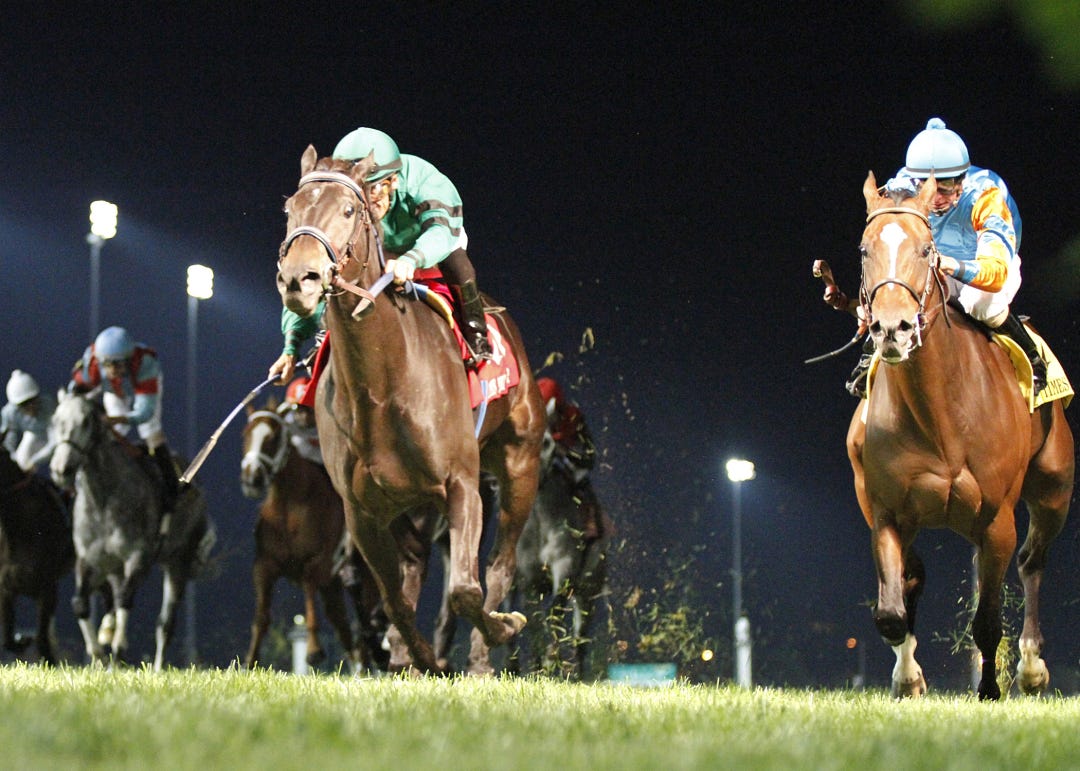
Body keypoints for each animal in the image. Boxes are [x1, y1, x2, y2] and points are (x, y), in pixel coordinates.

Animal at [49, 390, 216, 670]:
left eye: (85, 421)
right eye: (55, 420)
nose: (61, 469)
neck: (103, 501)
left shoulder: (138, 558)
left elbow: (125, 600)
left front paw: (117, 650)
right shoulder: (88, 560)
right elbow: (80, 603)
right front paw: (98, 654)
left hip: (178, 562)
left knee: (165, 622)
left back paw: (157, 668)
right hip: (116, 569)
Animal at [239, 401, 387, 671]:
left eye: (273, 437)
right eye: (246, 434)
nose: (252, 478)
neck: (289, 507)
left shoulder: (317, 563)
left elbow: (309, 598)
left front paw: (314, 651)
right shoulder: (264, 566)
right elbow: (261, 617)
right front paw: (250, 660)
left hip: (365, 575)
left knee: (364, 612)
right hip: (333, 586)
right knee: (341, 622)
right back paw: (358, 664)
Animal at [276, 147, 545, 674]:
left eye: (348, 210)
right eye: (291, 209)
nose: (300, 277)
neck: (383, 384)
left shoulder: (462, 483)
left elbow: (465, 590)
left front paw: (501, 628)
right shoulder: (362, 510)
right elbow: (394, 600)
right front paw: (420, 659)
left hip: (520, 464)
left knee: (501, 562)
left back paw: (481, 657)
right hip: (410, 504)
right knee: (415, 562)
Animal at [509, 430, 611, 678]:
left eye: (546, 444)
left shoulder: (565, 573)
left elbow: (553, 615)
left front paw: (549, 661)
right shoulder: (529, 582)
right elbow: (534, 623)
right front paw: (537, 666)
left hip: (587, 596)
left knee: (579, 641)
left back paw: (577, 676)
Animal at [848, 172, 1074, 699]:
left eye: (927, 249)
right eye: (865, 249)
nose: (892, 328)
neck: (940, 415)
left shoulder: (996, 519)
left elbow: (988, 621)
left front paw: (990, 689)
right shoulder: (886, 511)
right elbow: (892, 612)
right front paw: (908, 677)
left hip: (1053, 492)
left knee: (1032, 561)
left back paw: (1031, 667)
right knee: (914, 577)